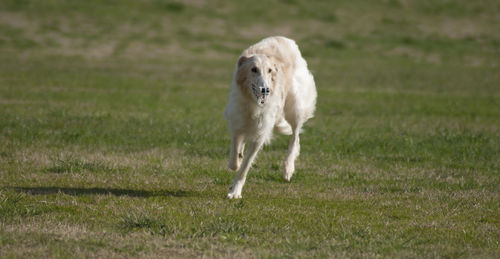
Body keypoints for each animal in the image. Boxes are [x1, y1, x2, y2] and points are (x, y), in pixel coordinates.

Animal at [224, 36, 316, 199]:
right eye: (253, 69)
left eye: (269, 70)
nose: (265, 90)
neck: (252, 104)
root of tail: (286, 39)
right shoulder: (237, 121)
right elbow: (234, 159)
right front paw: (237, 158)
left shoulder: (259, 135)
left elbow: (244, 167)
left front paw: (235, 192)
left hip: (295, 107)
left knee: (295, 137)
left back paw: (288, 169)